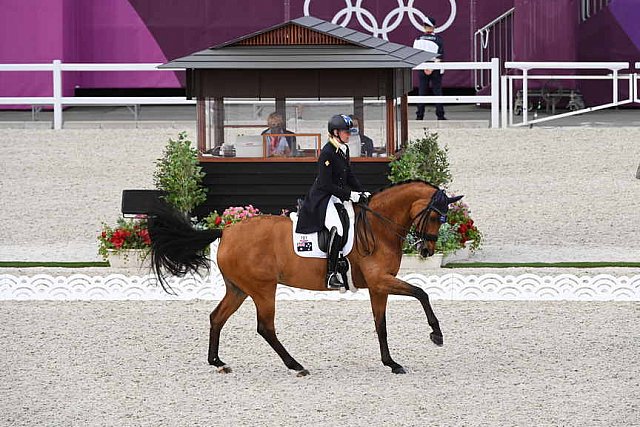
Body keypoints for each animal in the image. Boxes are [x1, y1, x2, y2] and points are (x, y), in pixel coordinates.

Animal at [148, 179, 462, 376]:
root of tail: (226, 231)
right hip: (263, 289)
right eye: (436, 217)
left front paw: (392, 363)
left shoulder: (377, 287)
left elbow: (380, 326)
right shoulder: (380, 281)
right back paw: (296, 366)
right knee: (265, 327)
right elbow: (421, 293)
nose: (426, 250)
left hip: (238, 289)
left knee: (217, 317)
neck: (378, 225)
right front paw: (436, 334)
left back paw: (218, 362)